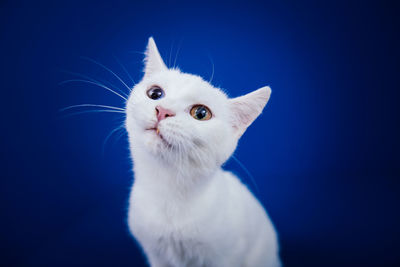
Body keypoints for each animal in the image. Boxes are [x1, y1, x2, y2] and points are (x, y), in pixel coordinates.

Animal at [126, 37, 280, 267]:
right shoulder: (156, 255)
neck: (168, 192)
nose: (163, 111)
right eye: (155, 93)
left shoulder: (226, 257)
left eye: (200, 113)